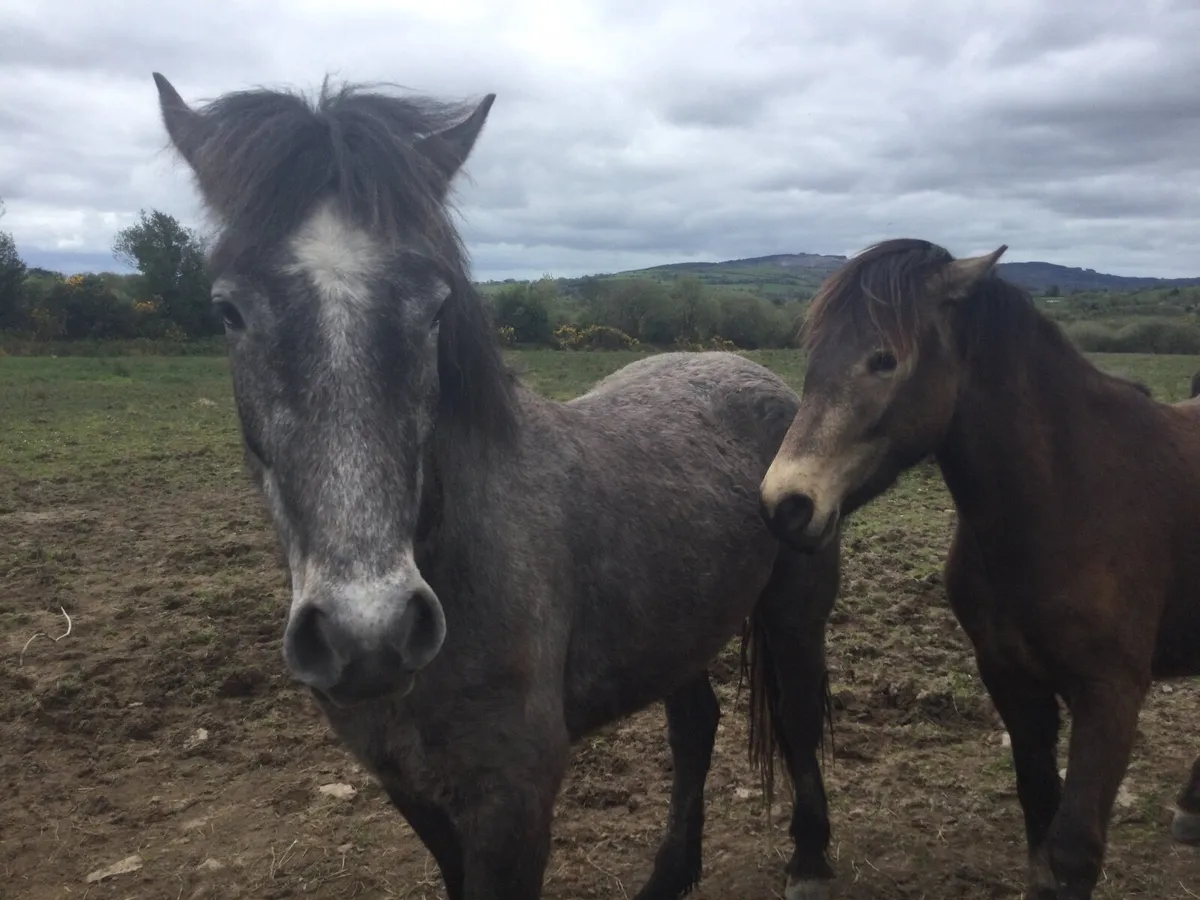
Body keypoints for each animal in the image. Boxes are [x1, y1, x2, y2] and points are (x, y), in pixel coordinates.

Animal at [149, 72, 843, 900]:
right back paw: (669, 877)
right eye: (228, 309)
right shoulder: (410, 786)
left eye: (435, 307)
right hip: (680, 631)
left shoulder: (514, 800)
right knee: (694, 727)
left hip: (795, 614)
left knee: (798, 715)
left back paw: (809, 860)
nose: (368, 632)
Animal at [756, 237, 1200, 899]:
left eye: (884, 359)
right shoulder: (1010, 676)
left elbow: (1072, 849)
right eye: (812, 355)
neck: (1067, 499)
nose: (784, 504)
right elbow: (1040, 815)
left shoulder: (1112, 693)